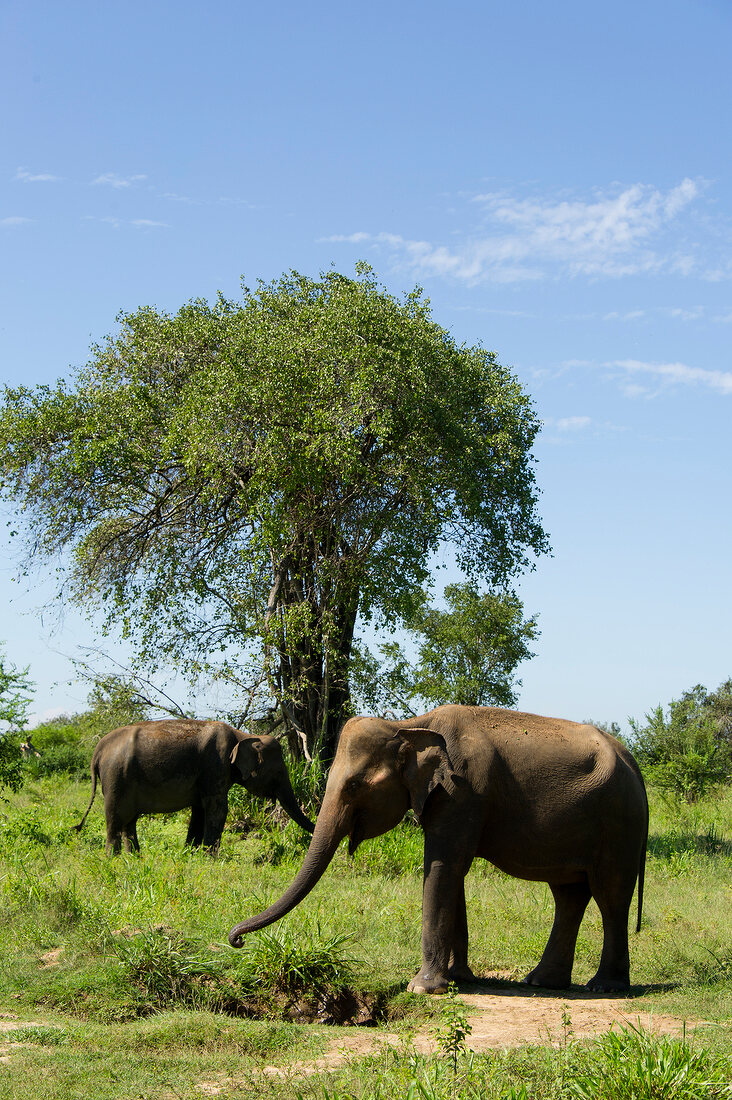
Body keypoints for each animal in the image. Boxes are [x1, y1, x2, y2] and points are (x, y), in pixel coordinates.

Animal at [74, 717, 314, 853]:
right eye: (278, 772)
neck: (243, 735)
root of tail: (98, 749)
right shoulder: (215, 765)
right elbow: (218, 809)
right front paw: (209, 858)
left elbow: (199, 811)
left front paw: (190, 854)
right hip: (116, 778)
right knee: (116, 819)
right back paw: (113, 859)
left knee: (129, 822)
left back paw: (134, 858)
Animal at [228, 708, 647, 994]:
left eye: (353, 786)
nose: (236, 940)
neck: (411, 724)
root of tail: (634, 763)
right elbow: (454, 872)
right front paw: (460, 979)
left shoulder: (462, 791)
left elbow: (442, 867)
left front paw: (423, 988)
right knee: (569, 895)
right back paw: (542, 981)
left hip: (620, 825)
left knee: (610, 896)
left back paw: (604, 987)